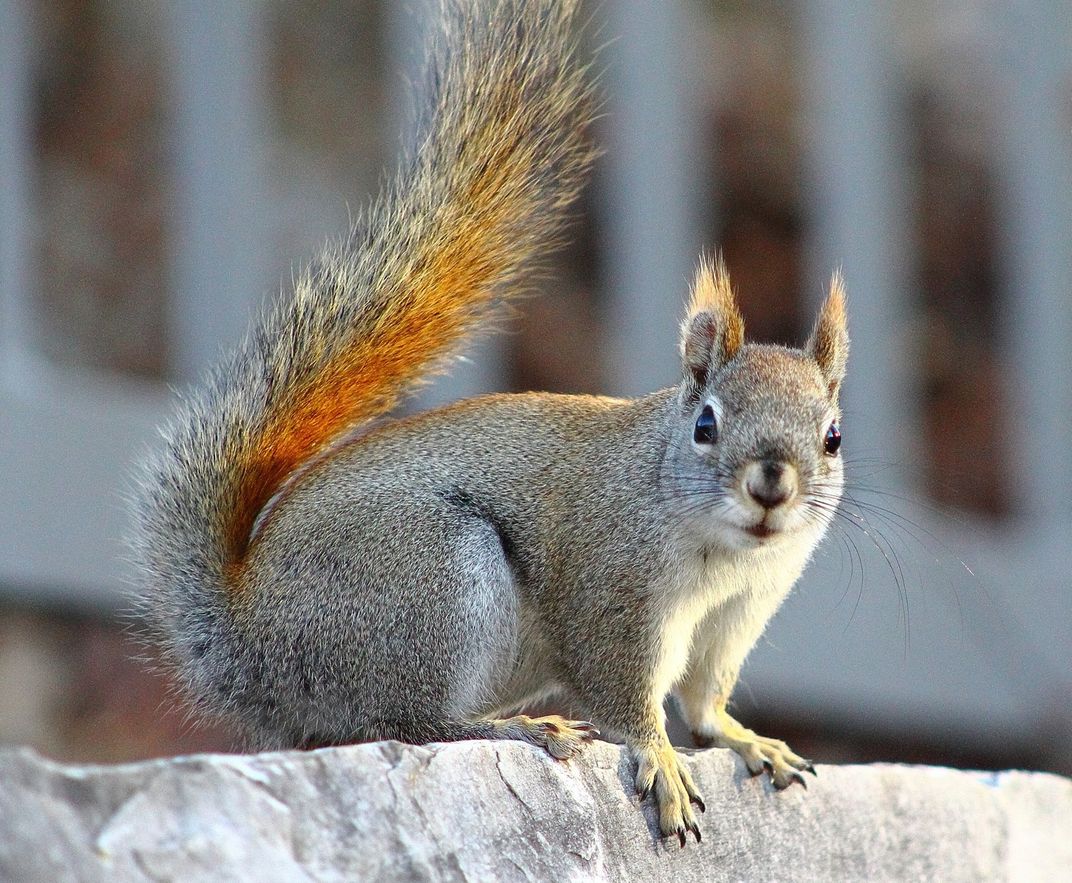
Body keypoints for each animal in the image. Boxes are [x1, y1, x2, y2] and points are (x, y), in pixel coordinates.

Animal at [132, 0, 849, 847]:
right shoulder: (610, 589)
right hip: (430, 578)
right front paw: (660, 759)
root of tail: (247, 645)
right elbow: (624, 691)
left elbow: (705, 703)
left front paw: (748, 740)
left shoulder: (736, 615)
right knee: (402, 724)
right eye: (706, 425)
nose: (772, 484)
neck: (726, 551)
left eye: (832, 436)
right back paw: (521, 729)